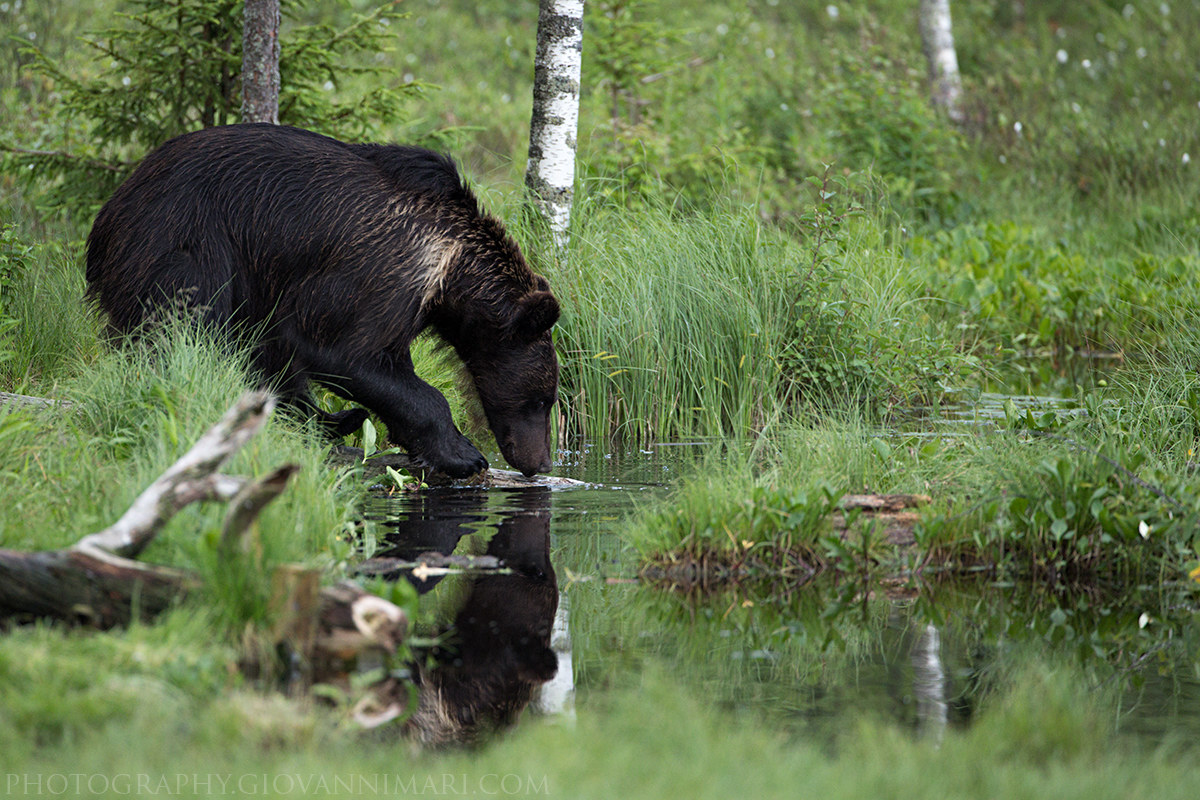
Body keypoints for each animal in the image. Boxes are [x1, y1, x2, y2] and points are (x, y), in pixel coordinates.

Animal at [85, 123, 560, 478]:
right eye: (542, 400)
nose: (539, 463)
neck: (452, 271)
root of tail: (109, 212)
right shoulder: (381, 272)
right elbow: (345, 350)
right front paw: (463, 453)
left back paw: (331, 419)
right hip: (186, 239)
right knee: (184, 324)